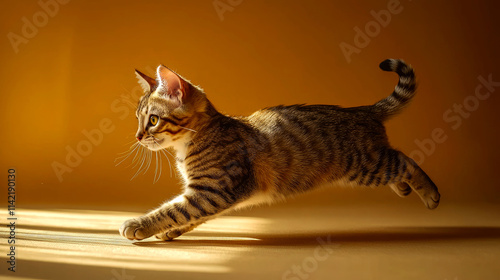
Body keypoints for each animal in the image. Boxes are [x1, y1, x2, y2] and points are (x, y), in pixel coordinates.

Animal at [119, 58, 440, 241]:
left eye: (153, 120)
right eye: (137, 119)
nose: (137, 136)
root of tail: (362, 110)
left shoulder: (214, 189)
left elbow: (176, 209)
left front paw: (141, 224)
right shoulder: (216, 193)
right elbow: (189, 213)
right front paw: (170, 230)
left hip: (365, 165)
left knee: (406, 161)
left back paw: (430, 194)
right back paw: (403, 188)